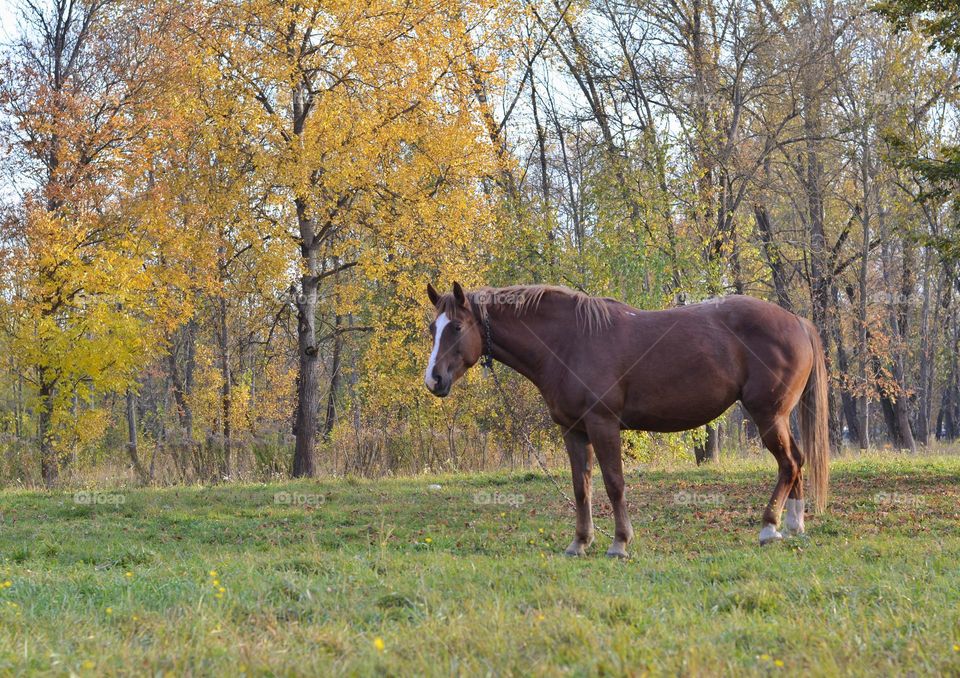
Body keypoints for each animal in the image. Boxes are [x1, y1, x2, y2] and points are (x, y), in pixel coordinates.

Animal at [424, 282, 828, 556]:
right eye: (432, 328)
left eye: (456, 327)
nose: (434, 379)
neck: (569, 341)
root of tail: (796, 321)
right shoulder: (573, 431)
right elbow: (581, 487)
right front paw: (579, 542)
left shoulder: (603, 425)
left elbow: (614, 483)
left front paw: (619, 543)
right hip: (776, 417)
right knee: (796, 461)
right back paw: (794, 525)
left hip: (768, 415)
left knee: (789, 463)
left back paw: (769, 527)